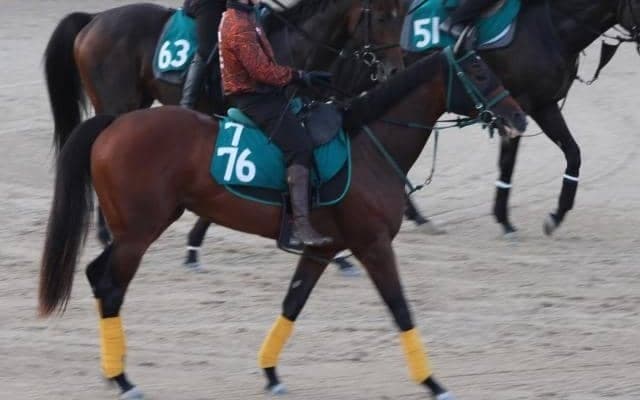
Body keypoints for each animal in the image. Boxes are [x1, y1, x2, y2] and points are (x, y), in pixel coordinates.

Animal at [38, 46, 527, 399]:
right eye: (481, 73)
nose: (519, 118)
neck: (370, 145)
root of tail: (114, 123)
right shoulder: (372, 245)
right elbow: (400, 308)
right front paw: (433, 382)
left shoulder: (321, 250)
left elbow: (292, 303)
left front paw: (271, 373)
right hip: (138, 234)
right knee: (109, 287)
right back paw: (123, 379)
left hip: (133, 231)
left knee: (97, 276)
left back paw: (114, 372)